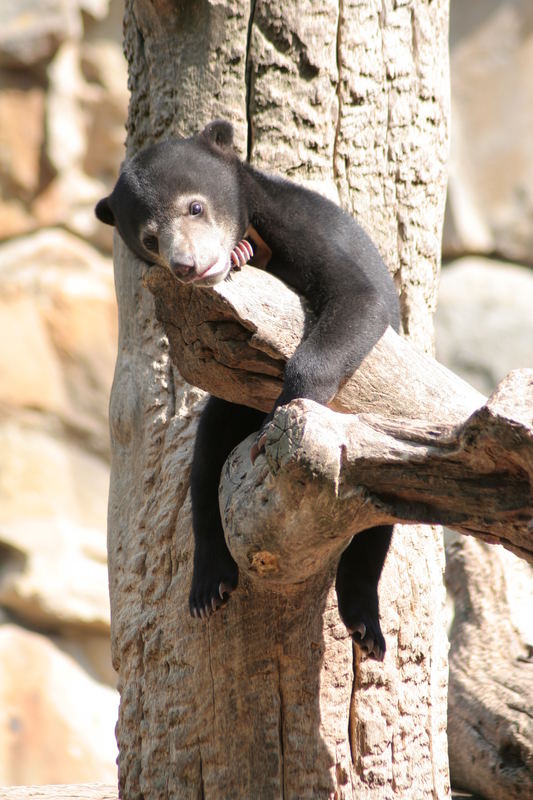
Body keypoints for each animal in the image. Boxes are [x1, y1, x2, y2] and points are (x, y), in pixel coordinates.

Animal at [94, 117, 400, 656]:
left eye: (195, 207)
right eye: (150, 239)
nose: (188, 266)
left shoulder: (302, 225)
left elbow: (360, 297)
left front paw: (283, 410)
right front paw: (240, 252)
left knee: (375, 528)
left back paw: (367, 628)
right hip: (228, 412)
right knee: (206, 463)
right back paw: (207, 586)